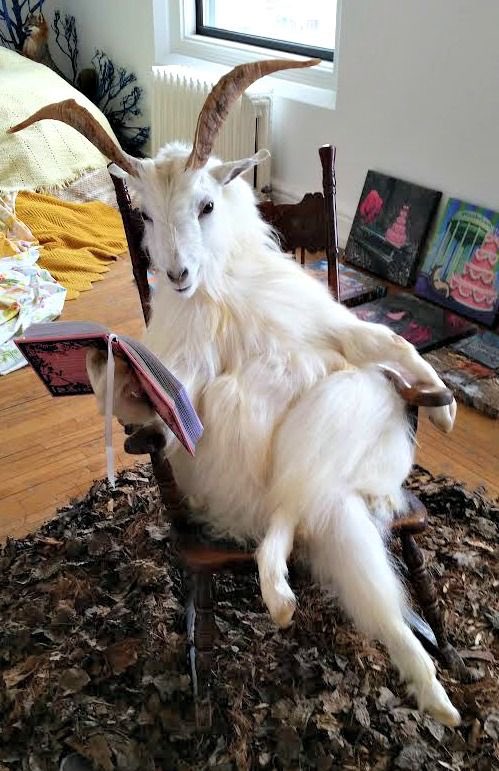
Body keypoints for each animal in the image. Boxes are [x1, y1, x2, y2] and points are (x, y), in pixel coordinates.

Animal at [9, 59, 460, 726]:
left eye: (206, 204)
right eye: (144, 216)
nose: (176, 274)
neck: (219, 293)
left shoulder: (329, 325)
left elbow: (386, 340)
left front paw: (446, 406)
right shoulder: (179, 383)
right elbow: (152, 416)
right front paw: (99, 358)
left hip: (348, 448)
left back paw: (432, 692)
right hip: (306, 502)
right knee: (302, 523)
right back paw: (297, 606)